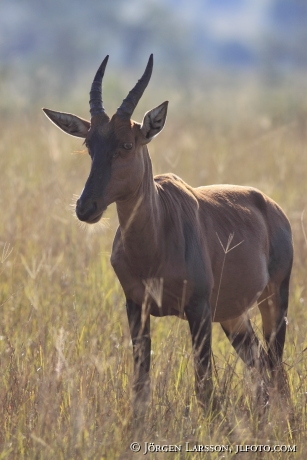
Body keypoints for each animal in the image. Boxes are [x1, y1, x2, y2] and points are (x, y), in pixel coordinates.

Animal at [43, 54, 294, 416]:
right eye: (89, 145)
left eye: (127, 144)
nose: (85, 207)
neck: (156, 240)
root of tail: (272, 208)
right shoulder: (136, 307)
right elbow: (140, 386)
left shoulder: (199, 310)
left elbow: (204, 389)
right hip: (233, 315)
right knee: (261, 367)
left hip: (274, 299)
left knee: (275, 370)